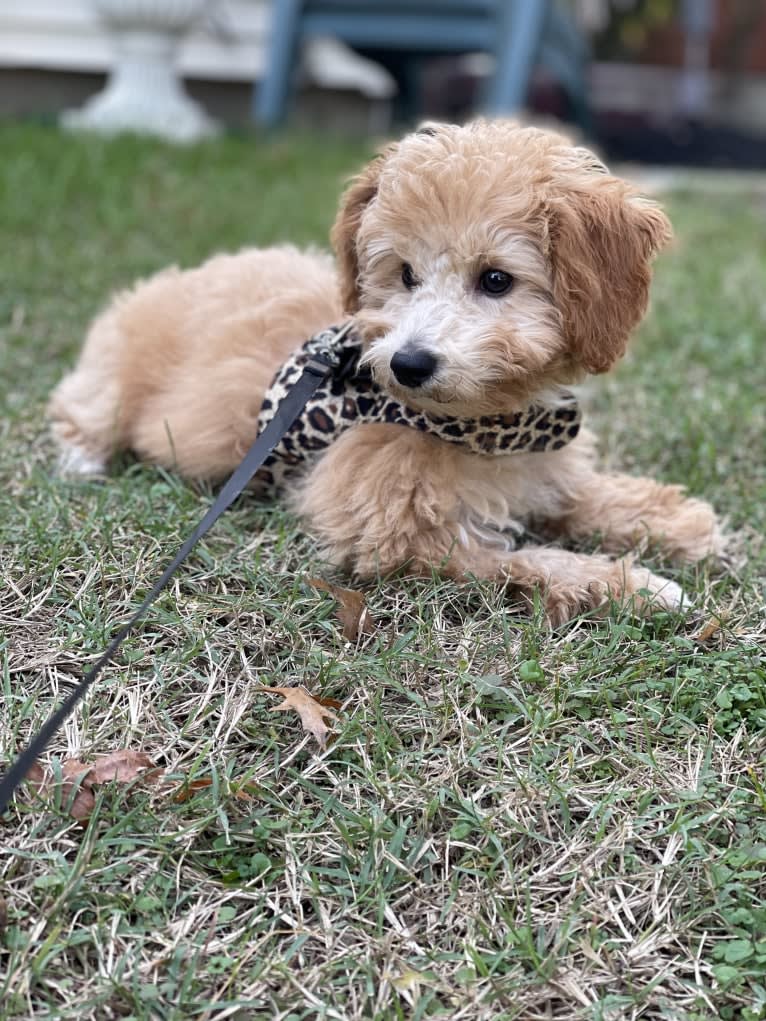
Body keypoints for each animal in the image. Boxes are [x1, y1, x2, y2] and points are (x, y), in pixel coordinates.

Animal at [49, 119, 727, 620]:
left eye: (496, 280)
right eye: (404, 273)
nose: (409, 363)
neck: (482, 426)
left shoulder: (540, 467)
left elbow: (586, 496)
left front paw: (677, 525)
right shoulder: (403, 539)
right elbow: (530, 560)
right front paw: (638, 586)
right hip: (112, 377)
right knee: (79, 411)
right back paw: (81, 460)